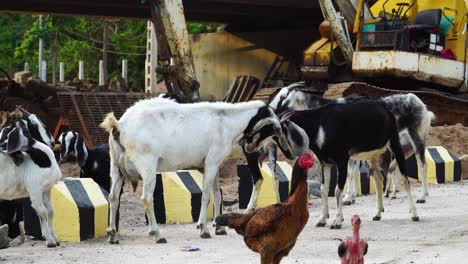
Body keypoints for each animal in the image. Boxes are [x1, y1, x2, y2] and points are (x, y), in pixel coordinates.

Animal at [100, 96, 288, 243]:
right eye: (269, 127)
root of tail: (120, 125)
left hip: (115, 168)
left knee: (113, 198)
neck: (226, 121)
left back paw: (112, 235)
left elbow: (217, 194)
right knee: (146, 198)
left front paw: (219, 227)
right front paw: (203, 228)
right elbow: (206, 195)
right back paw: (158, 234)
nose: (250, 149)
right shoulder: (211, 162)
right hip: (148, 166)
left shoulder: (213, 164)